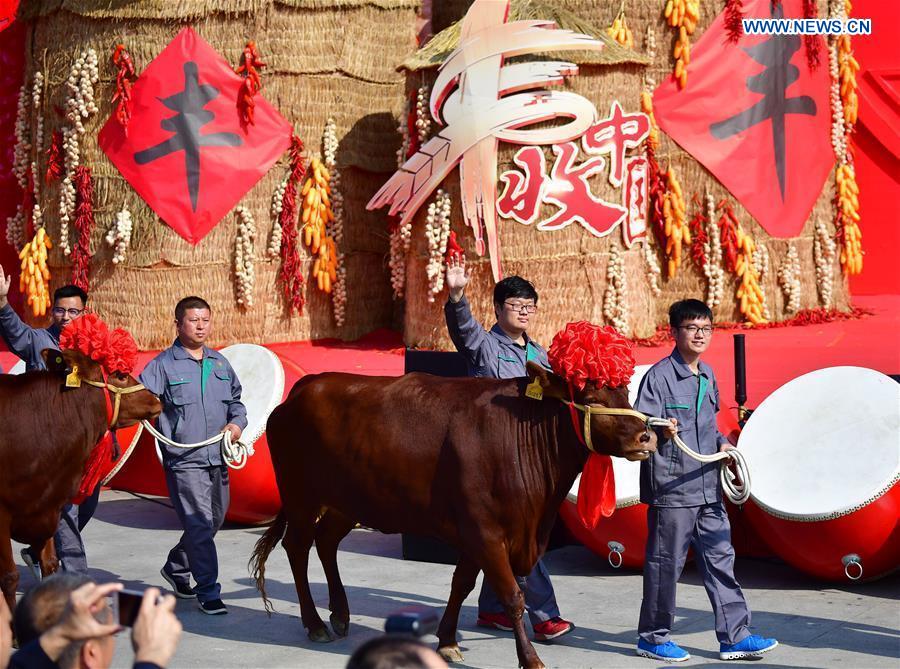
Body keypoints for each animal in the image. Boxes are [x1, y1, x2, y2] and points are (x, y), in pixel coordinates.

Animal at [250, 360, 656, 668]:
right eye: (591, 397)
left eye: (625, 393)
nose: (646, 437)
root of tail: (307, 386)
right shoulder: (485, 532)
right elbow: (512, 596)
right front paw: (530, 658)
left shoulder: (477, 533)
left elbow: (461, 584)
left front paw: (446, 640)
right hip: (301, 497)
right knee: (297, 548)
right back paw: (315, 622)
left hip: (349, 502)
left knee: (326, 542)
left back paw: (340, 613)